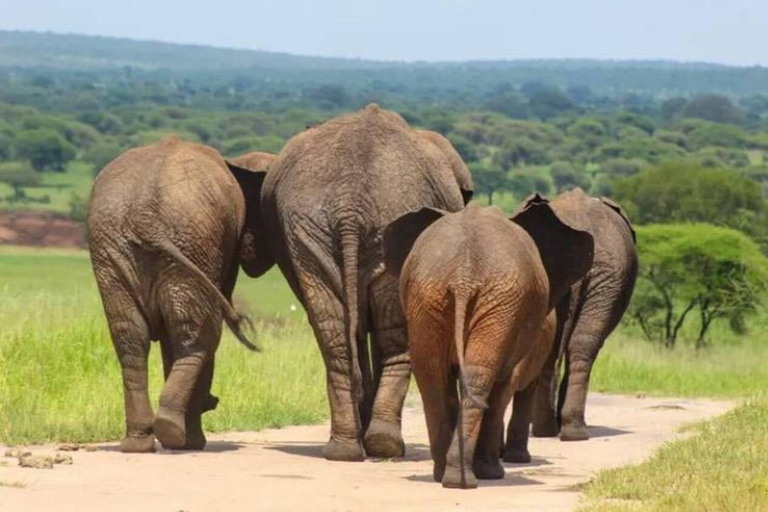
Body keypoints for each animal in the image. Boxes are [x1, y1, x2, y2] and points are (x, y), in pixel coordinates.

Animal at [88, 137, 272, 452]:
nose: (214, 401)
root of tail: (144, 215)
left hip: (119, 249)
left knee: (131, 336)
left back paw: (141, 442)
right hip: (189, 243)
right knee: (200, 333)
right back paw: (181, 439)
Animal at [243, 104, 474, 460]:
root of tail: (350, 208)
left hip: (309, 232)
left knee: (334, 330)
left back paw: (346, 447)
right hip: (386, 226)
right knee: (392, 331)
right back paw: (383, 444)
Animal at [384, 199, 592, 488]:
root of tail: (464, 275)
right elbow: (506, 386)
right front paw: (494, 471)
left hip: (432, 296)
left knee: (435, 376)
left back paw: (447, 475)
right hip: (496, 301)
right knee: (481, 380)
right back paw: (470, 477)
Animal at [520, 190, 640, 442]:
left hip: (605, 279)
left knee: (570, 345)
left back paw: (552, 430)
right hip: (606, 278)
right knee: (580, 344)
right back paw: (565, 430)